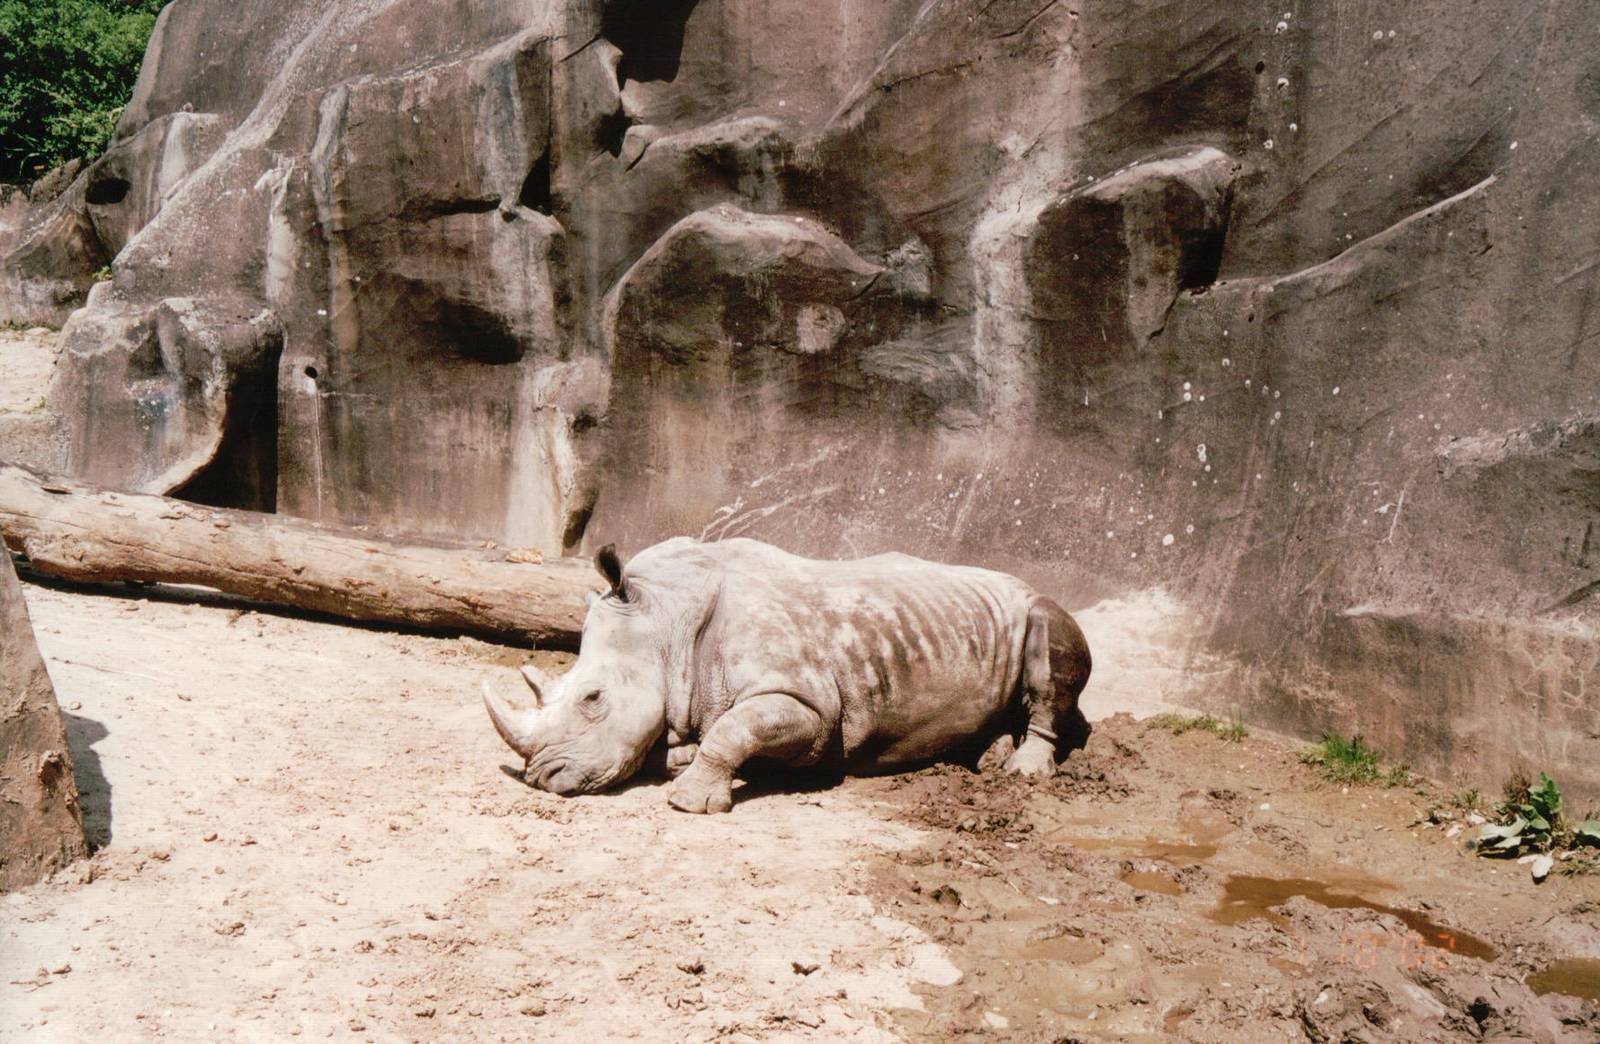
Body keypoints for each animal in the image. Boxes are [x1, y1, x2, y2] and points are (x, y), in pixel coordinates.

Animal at [482, 537, 1092, 813]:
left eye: (593, 697)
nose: (541, 777)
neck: (666, 616)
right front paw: (679, 759)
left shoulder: (812, 706)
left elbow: (736, 727)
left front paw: (689, 801)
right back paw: (991, 755)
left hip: (1039, 606)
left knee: (1051, 645)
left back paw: (1022, 772)